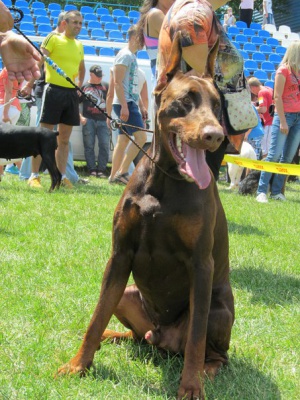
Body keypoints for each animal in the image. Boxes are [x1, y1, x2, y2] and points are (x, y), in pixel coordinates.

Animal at [58, 36, 234, 398]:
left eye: (217, 106)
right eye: (185, 101)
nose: (216, 135)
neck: (165, 180)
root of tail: (163, 339)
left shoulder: (201, 264)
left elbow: (196, 339)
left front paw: (190, 386)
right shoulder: (120, 254)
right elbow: (97, 316)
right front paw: (79, 364)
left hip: (217, 310)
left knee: (214, 353)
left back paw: (207, 371)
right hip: (128, 297)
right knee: (136, 335)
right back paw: (113, 336)